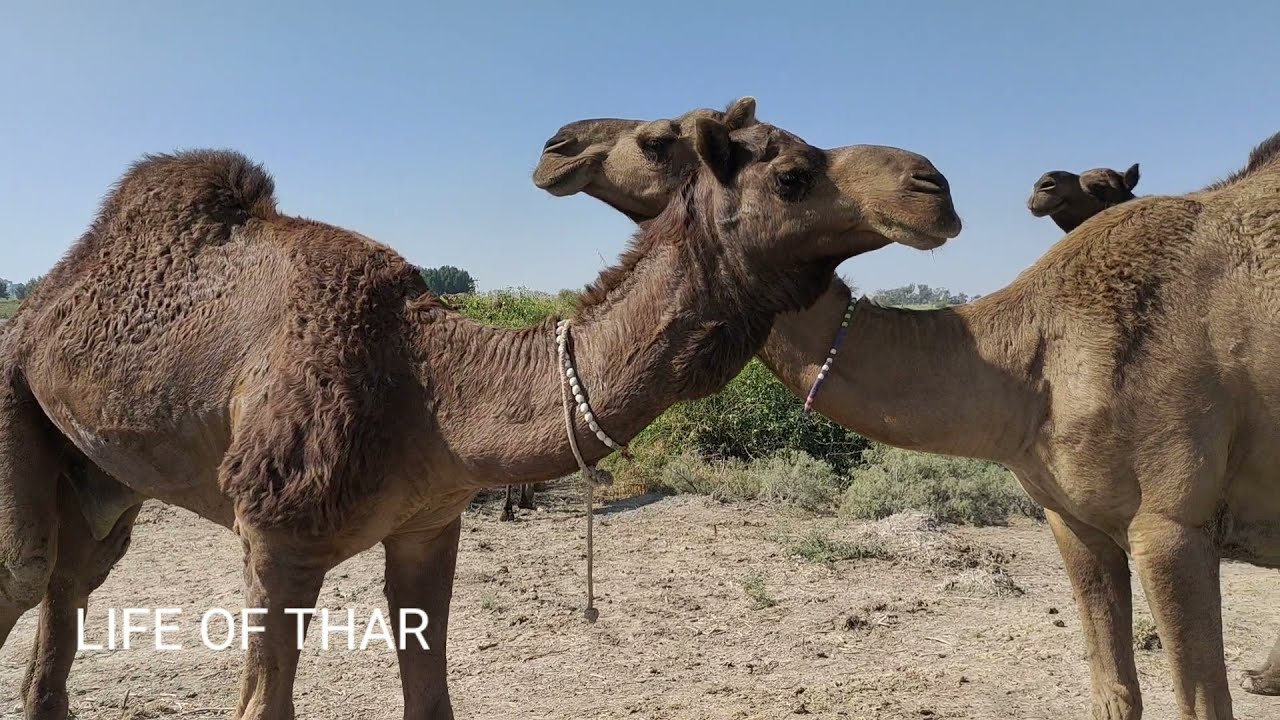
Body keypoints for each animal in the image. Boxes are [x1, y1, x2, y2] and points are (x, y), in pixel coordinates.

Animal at [0, 110, 963, 719]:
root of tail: (40, 305)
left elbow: (432, 699)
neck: (431, 384)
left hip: (104, 477)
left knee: (69, 586)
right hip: (17, 402)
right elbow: (263, 707)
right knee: (29, 570)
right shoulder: (275, 536)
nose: (934, 185)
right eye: (793, 175)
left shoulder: (430, 523)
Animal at [534, 108, 1280, 719]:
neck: (1036, 362)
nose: (555, 147)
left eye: (657, 140)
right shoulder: (1072, 521)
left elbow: (1201, 705)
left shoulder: (1172, 525)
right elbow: (1114, 692)